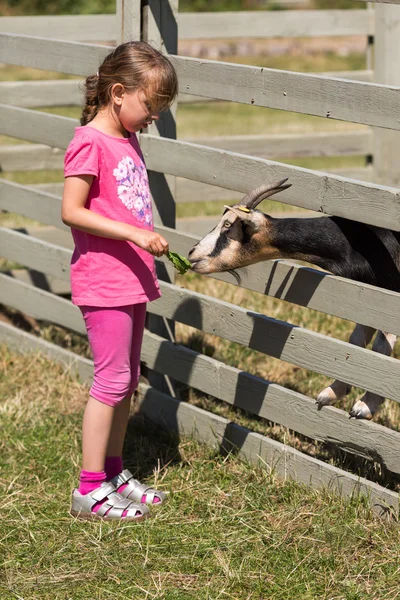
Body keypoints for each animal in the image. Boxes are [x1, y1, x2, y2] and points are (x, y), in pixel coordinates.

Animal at [188, 179, 400, 422]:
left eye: (228, 225)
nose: (192, 253)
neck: (361, 242)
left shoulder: (389, 298)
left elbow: (381, 347)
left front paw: (365, 406)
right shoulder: (368, 297)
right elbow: (356, 342)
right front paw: (332, 393)